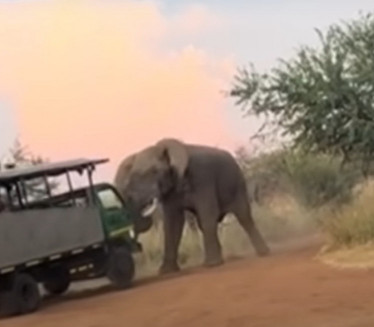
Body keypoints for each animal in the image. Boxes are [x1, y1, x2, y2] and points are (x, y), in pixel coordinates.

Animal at [114, 137, 268, 276]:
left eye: (155, 172)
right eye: (132, 178)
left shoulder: (203, 178)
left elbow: (208, 214)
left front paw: (212, 265)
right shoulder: (172, 190)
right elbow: (173, 223)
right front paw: (166, 272)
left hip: (238, 183)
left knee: (244, 216)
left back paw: (263, 253)